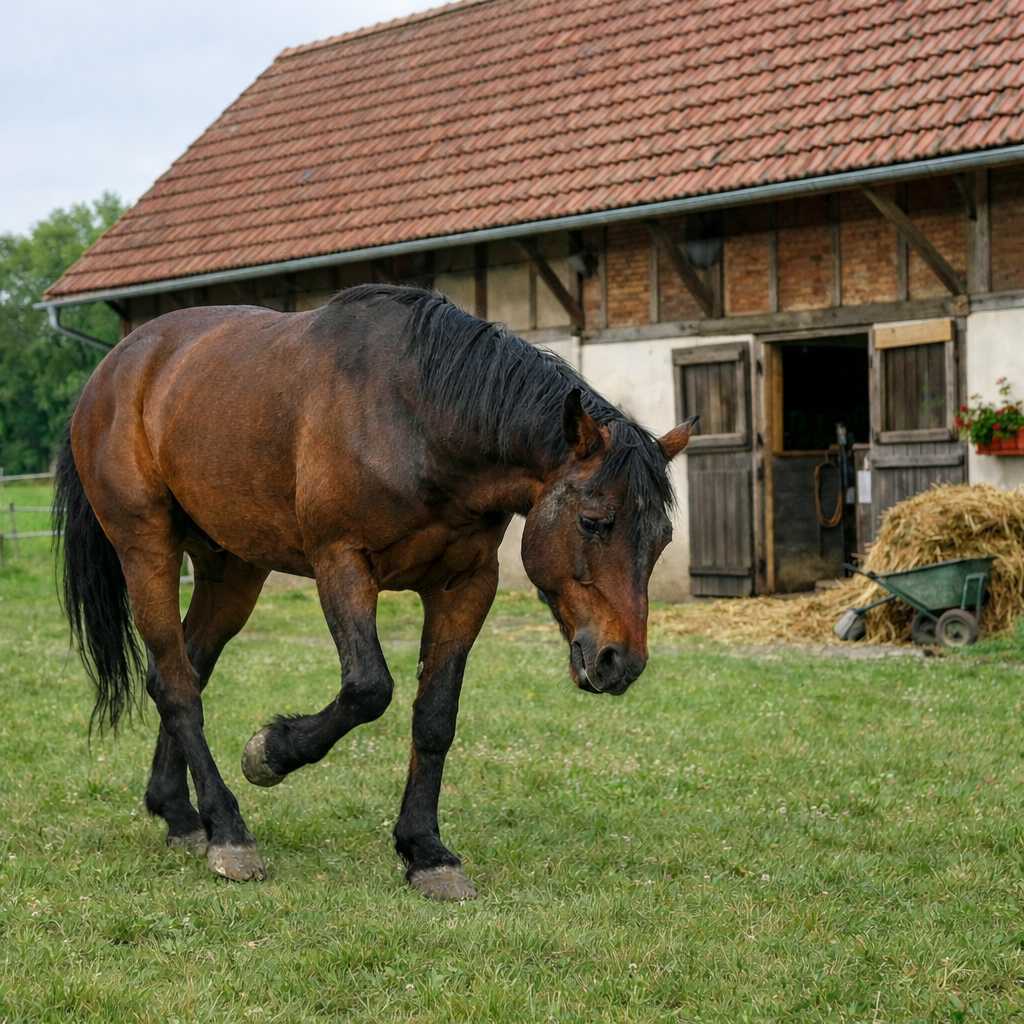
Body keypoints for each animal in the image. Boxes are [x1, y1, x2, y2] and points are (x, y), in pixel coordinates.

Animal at [53, 284, 696, 901]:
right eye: (593, 522)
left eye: (662, 539)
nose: (620, 662)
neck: (419, 419)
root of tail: (115, 369)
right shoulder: (342, 562)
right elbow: (369, 689)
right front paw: (269, 752)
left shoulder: (465, 584)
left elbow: (435, 717)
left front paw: (427, 853)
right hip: (147, 550)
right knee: (177, 686)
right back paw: (229, 833)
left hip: (230, 570)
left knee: (185, 670)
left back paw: (182, 816)